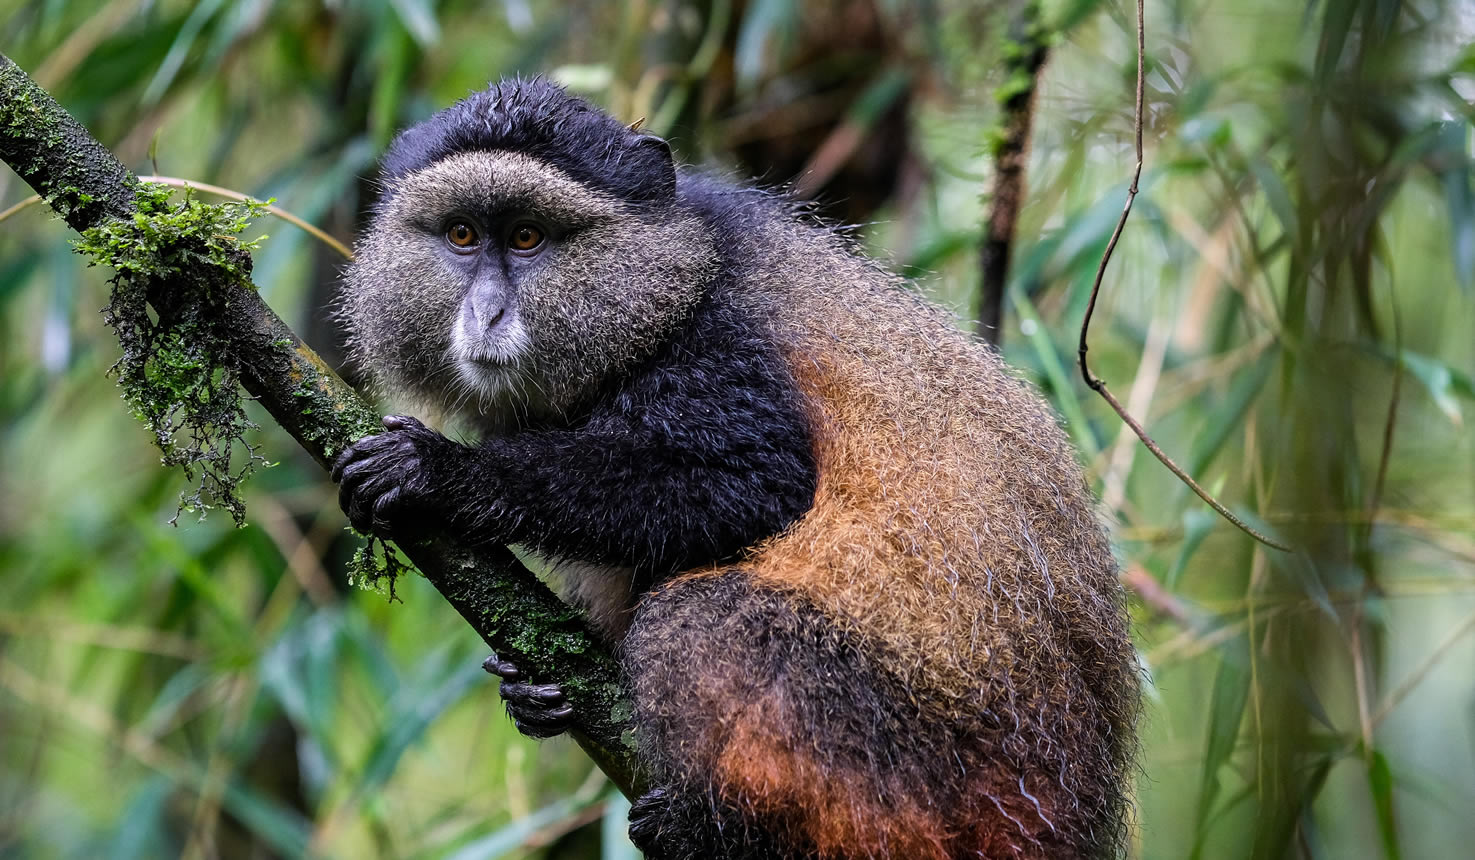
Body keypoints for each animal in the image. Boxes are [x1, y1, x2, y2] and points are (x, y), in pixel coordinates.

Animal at [331, 78, 1138, 859]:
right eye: (463, 236)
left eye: (528, 237)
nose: (488, 314)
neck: (666, 286)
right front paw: (535, 687)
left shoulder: (718, 348)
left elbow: (756, 485)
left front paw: (444, 473)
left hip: (926, 781)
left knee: (701, 620)